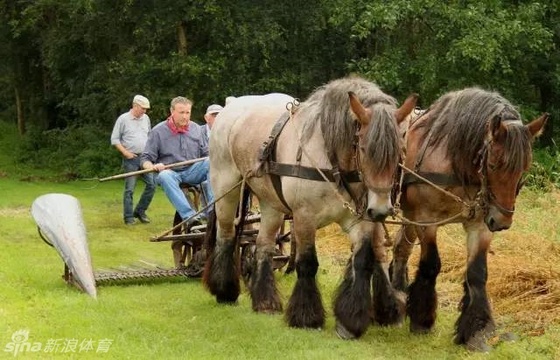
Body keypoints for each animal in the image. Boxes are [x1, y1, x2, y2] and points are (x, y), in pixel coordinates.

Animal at [203, 75, 418, 338]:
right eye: (364, 149)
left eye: (400, 151)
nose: (380, 210)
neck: (332, 160)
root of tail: (232, 104)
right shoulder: (304, 216)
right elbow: (307, 263)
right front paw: (307, 316)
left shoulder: (359, 219)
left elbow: (363, 260)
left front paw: (351, 319)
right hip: (226, 187)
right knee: (226, 235)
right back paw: (225, 290)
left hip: (271, 203)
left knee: (263, 246)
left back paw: (265, 301)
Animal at [390, 88, 548, 352]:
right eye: (493, 164)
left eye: (524, 168)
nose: (502, 221)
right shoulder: (426, 219)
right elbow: (431, 265)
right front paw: (422, 320)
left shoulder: (480, 224)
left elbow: (477, 273)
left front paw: (476, 331)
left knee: (401, 248)